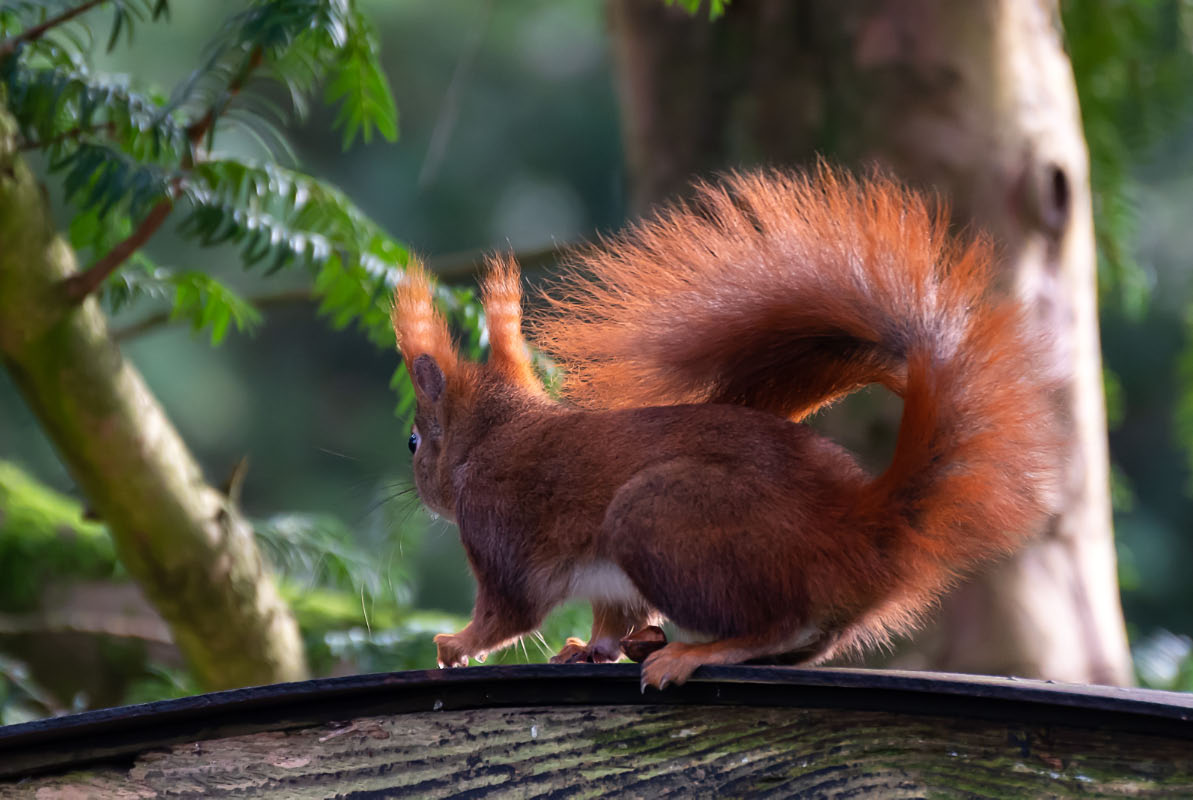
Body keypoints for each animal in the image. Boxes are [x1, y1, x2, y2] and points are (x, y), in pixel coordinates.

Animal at [391, 166, 1062, 691]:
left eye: (414, 442)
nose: (417, 491)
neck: (491, 439)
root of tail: (860, 529)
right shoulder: (608, 585)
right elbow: (610, 617)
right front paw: (589, 649)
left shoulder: (501, 531)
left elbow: (510, 614)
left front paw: (455, 644)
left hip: (660, 517)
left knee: (771, 627)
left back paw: (692, 653)